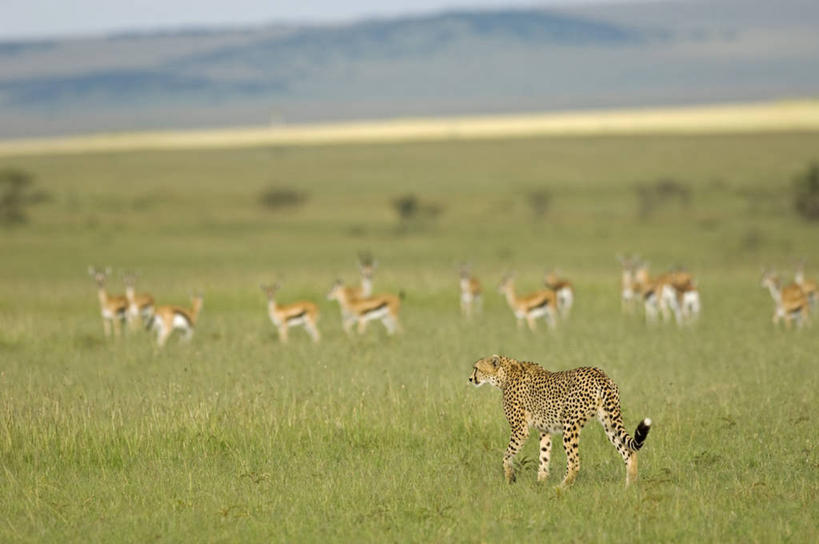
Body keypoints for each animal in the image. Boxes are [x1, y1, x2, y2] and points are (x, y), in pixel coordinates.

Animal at [470, 354, 652, 486]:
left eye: (476, 368)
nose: (470, 379)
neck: (506, 374)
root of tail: (601, 374)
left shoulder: (520, 430)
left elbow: (506, 455)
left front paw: (510, 477)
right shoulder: (545, 430)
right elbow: (544, 456)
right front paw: (540, 483)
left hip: (570, 426)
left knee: (574, 462)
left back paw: (562, 487)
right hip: (609, 423)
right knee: (629, 452)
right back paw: (629, 487)